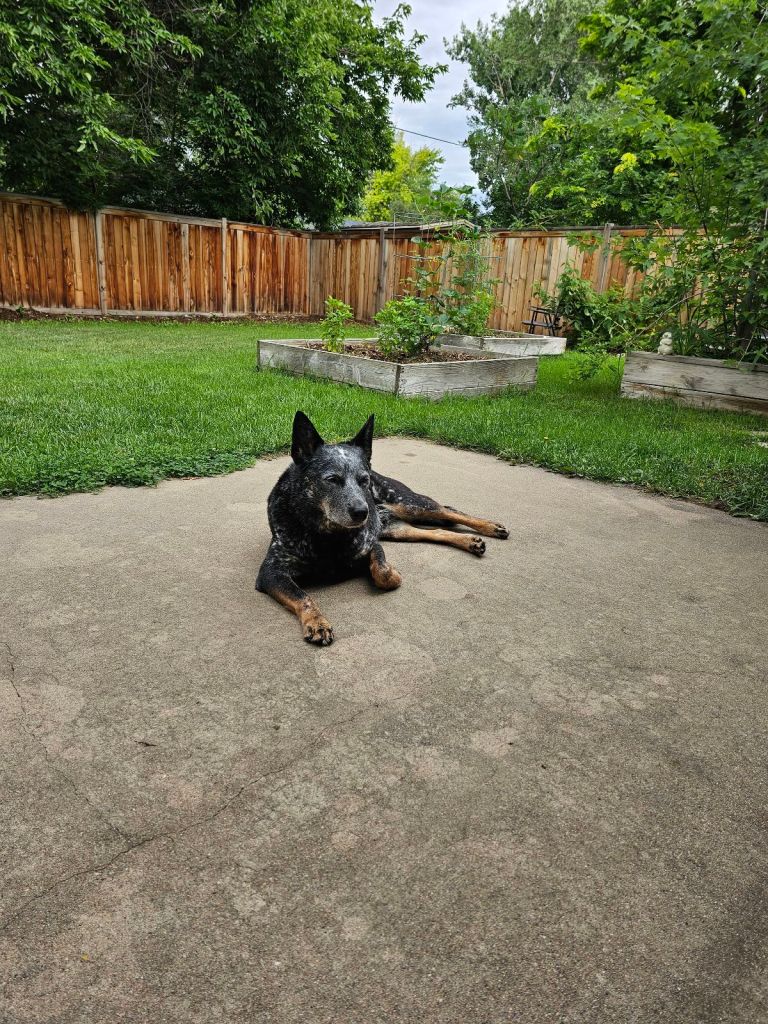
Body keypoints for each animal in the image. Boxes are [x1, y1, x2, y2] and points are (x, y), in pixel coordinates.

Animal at [256, 411, 509, 645]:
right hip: (397, 529)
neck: (326, 534)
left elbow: (383, 572)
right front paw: (317, 622)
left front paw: (393, 574)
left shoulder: (372, 545)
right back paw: (470, 541)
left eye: (363, 480)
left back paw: (490, 527)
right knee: (435, 531)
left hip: (410, 503)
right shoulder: (271, 572)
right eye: (332, 479)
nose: (363, 511)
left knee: (448, 510)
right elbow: (303, 596)